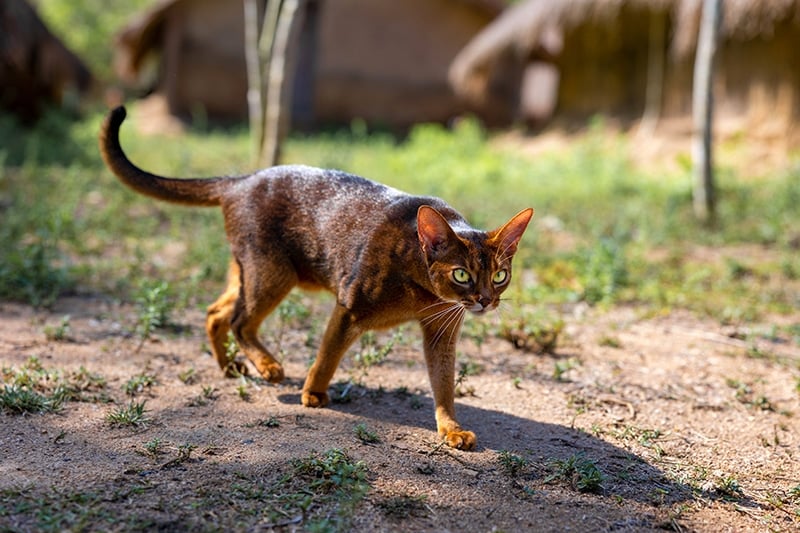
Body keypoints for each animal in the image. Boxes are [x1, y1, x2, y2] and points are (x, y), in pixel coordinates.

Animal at [100, 105, 536, 448]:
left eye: (499, 275)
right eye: (462, 274)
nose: (485, 300)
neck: (421, 286)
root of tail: (241, 179)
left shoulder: (442, 332)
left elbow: (444, 386)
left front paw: (451, 429)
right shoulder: (349, 307)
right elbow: (328, 355)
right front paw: (312, 393)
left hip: (249, 272)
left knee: (214, 312)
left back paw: (229, 367)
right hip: (273, 274)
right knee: (240, 321)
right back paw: (269, 367)